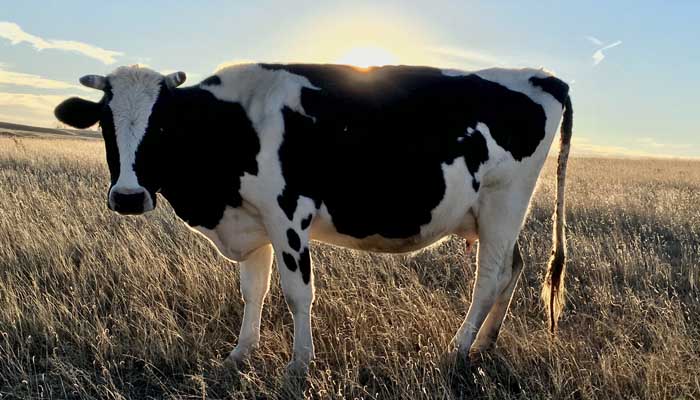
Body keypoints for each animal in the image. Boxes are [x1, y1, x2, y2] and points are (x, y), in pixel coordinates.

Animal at [53, 62, 568, 372]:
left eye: (163, 125)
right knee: (513, 269)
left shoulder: (288, 217)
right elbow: (253, 291)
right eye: (105, 123)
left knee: (490, 277)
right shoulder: (253, 222)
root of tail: (541, 76)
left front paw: (300, 364)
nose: (128, 196)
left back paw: (458, 348)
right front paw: (240, 354)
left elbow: (298, 294)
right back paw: (485, 344)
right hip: (497, 214)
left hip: (504, 202)